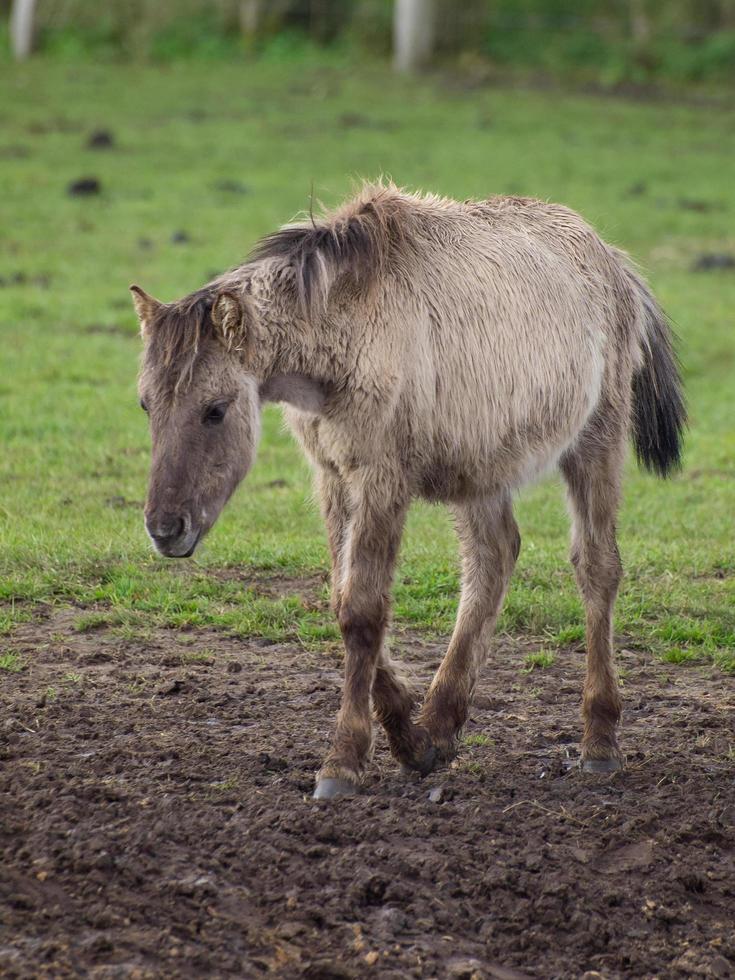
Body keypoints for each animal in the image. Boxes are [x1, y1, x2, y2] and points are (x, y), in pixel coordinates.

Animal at [131, 180, 684, 800]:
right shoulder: (335, 477)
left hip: (596, 442)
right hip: (481, 468)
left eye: (215, 410)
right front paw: (410, 740)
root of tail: (612, 260)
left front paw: (343, 760)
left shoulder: (379, 480)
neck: (350, 323)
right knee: (493, 557)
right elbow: (342, 600)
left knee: (596, 568)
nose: (165, 529)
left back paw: (599, 740)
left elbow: (362, 611)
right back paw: (440, 723)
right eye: (147, 405)